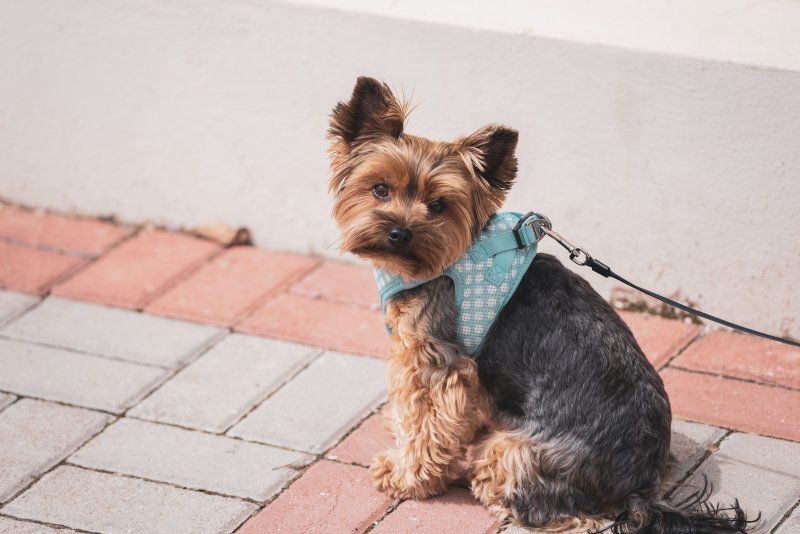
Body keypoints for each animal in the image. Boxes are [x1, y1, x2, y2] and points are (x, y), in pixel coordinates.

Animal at [326, 76, 756, 534]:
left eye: (438, 206)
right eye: (380, 189)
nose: (399, 232)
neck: (449, 256)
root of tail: (641, 487)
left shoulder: (435, 360)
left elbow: (428, 424)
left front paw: (407, 474)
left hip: (517, 456)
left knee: (559, 508)